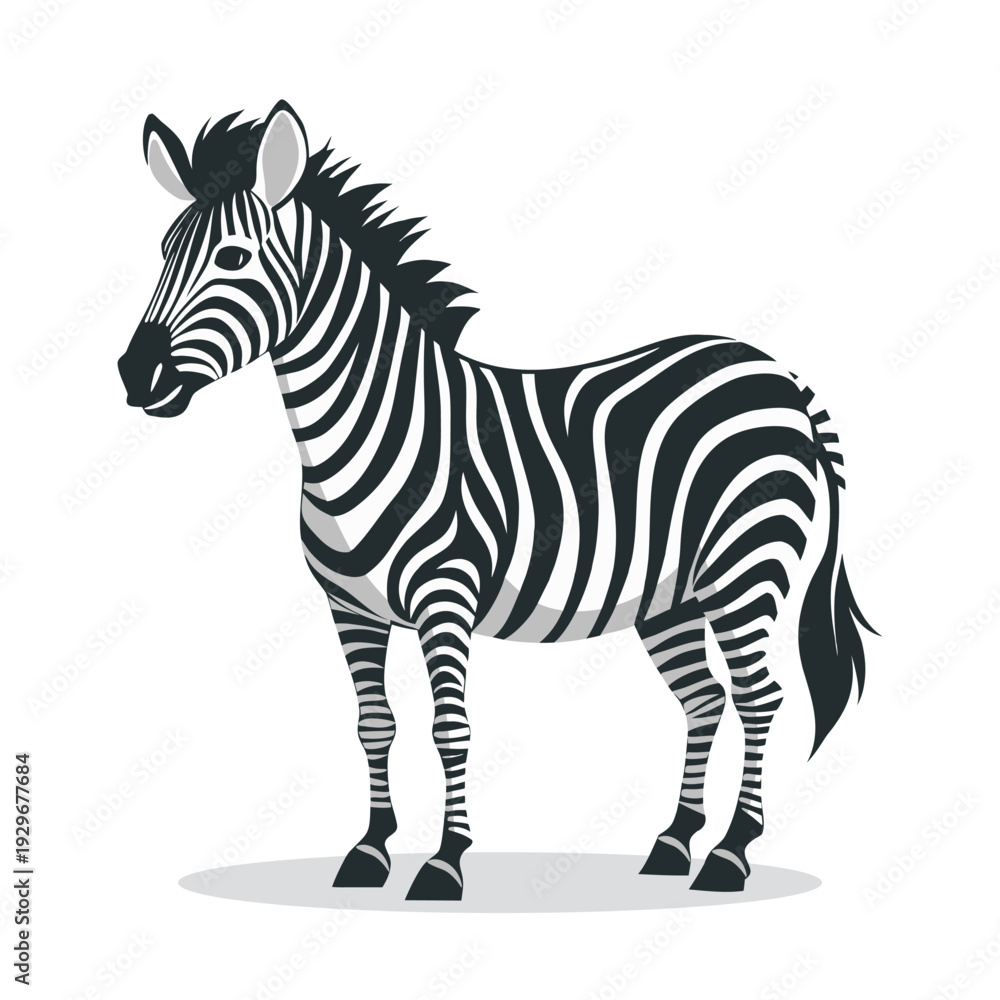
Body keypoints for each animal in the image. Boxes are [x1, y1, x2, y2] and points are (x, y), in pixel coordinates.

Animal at [118, 101, 875, 901]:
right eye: (163, 252)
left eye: (232, 259)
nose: (135, 375)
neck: (374, 422)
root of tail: (777, 373)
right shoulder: (350, 608)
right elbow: (375, 724)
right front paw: (370, 851)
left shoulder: (444, 595)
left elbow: (449, 729)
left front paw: (445, 862)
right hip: (673, 597)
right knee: (705, 699)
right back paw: (673, 845)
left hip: (745, 567)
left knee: (760, 697)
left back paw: (730, 854)